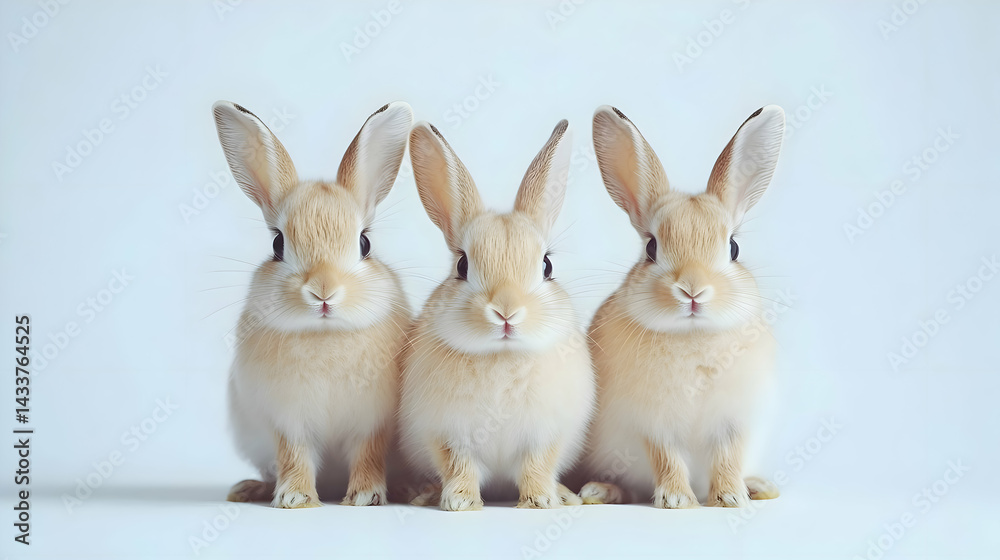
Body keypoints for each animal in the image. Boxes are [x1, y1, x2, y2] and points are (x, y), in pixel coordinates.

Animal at [212, 100, 413, 508]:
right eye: (277, 244)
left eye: (365, 243)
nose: (323, 291)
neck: (325, 334)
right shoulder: (288, 422)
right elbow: (294, 455)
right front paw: (294, 498)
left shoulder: (372, 423)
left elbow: (368, 454)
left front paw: (365, 495)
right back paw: (249, 489)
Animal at [399, 120, 596, 511]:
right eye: (462, 266)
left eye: (547, 266)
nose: (507, 311)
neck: (501, 356)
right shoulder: (447, 434)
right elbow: (459, 467)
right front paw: (459, 502)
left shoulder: (546, 435)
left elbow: (537, 466)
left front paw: (540, 501)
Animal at [577, 105, 785, 508]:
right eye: (651, 248)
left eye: (733, 248)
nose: (692, 290)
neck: (693, 334)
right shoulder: (653, 424)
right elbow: (666, 457)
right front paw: (676, 499)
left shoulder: (733, 422)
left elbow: (728, 457)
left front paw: (731, 497)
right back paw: (599, 491)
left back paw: (759, 487)